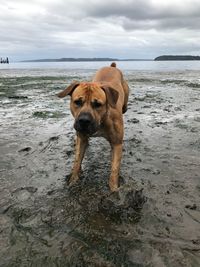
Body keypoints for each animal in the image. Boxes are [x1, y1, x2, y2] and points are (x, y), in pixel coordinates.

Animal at [57, 62, 130, 193]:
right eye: (77, 102)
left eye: (97, 104)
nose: (84, 120)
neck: (101, 121)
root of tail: (112, 66)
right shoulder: (81, 138)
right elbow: (77, 161)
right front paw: (73, 181)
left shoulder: (117, 143)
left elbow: (114, 169)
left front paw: (114, 189)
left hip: (125, 104)